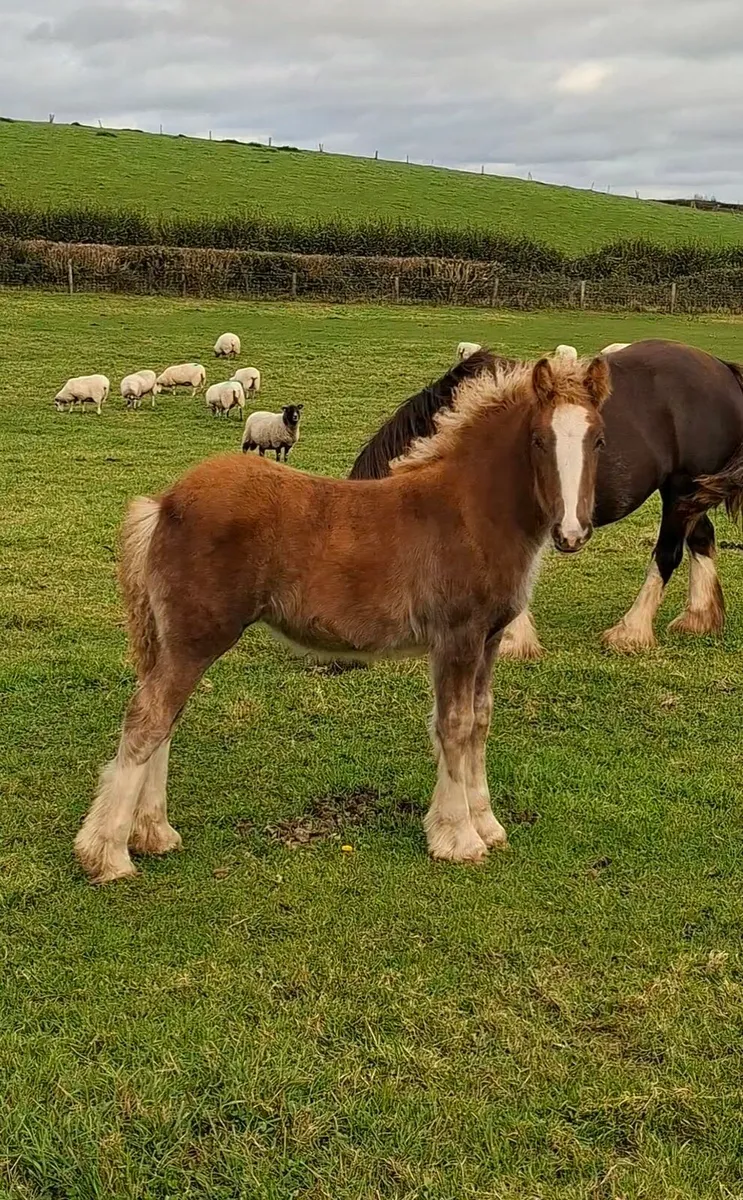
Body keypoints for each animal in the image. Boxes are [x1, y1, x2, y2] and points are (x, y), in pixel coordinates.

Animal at [75, 354, 610, 884]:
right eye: (538, 439)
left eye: (598, 439)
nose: (571, 533)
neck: (470, 513)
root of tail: (164, 503)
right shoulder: (457, 637)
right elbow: (453, 726)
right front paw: (458, 838)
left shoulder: (489, 638)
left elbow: (479, 721)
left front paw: (487, 826)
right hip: (196, 638)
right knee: (148, 719)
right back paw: (110, 855)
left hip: (177, 642)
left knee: (165, 720)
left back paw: (154, 834)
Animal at [349, 339, 743, 657]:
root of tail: (722, 368)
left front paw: (513, 640)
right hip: (689, 491)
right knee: (701, 537)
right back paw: (698, 618)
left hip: (681, 488)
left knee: (668, 553)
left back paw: (631, 631)